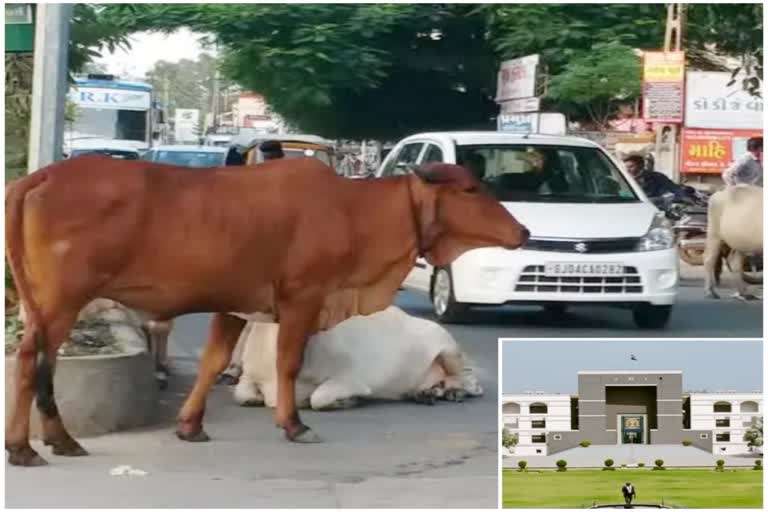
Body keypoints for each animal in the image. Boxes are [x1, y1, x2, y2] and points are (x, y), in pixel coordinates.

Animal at [231, 306, 484, 410]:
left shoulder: (352, 379)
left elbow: (318, 398)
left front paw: (350, 401)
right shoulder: (248, 375)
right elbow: (242, 394)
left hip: (449, 349)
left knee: (472, 382)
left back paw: (453, 391)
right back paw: (425, 393)